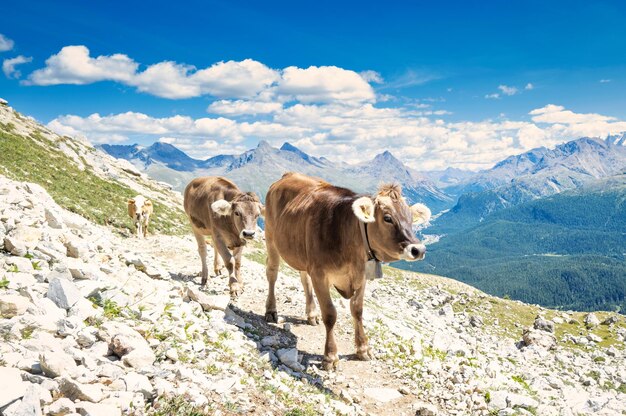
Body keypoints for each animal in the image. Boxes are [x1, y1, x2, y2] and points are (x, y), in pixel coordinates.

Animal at [262, 172, 428, 370]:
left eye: (411, 218)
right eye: (387, 218)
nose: (418, 249)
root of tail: (287, 175)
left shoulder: (361, 276)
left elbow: (357, 310)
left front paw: (363, 348)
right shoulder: (319, 274)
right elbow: (330, 314)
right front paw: (330, 356)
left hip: (301, 252)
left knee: (304, 279)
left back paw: (311, 314)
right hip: (271, 237)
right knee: (272, 273)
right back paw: (271, 311)